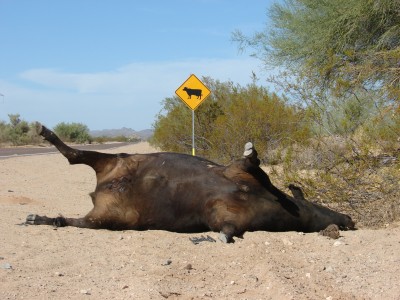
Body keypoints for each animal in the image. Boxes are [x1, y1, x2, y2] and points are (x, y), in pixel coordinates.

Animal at [26, 123, 354, 243]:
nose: (349, 220)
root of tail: (101, 191)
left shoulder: (226, 217)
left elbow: (226, 232)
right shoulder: (240, 182)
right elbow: (253, 168)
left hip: (109, 213)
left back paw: (41, 217)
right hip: (117, 165)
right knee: (74, 156)